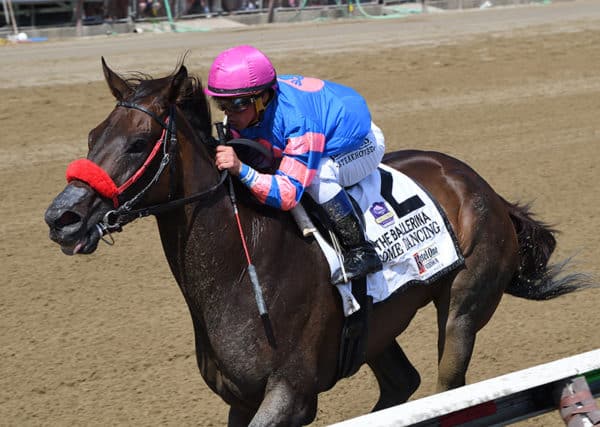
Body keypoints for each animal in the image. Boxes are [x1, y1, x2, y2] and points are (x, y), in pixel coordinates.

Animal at [43, 61, 592, 427]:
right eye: (92, 135)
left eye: (138, 143)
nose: (61, 218)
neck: (241, 266)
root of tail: (483, 187)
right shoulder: (240, 399)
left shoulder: (289, 393)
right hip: (375, 326)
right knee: (402, 383)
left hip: (463, 307)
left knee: (446, 381)